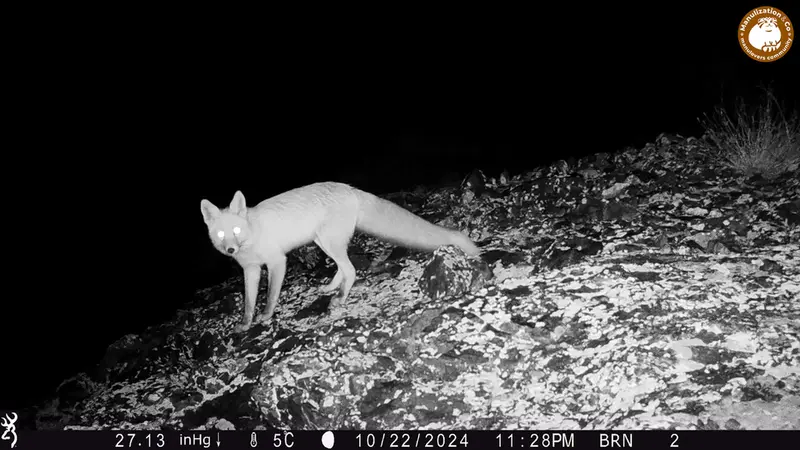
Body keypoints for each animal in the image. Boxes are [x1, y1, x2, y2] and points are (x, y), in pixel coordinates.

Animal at [200, 182, 481, 332]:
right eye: (222, 234)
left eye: (236, 231)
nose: (231, 250)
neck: (252, 234)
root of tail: (350, 188)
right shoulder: (250, 270)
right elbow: (248, 302)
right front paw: (245, 323)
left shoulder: (277, 261)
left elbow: (270, 296)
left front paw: (266, 316)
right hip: (323, 242)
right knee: (342, 268)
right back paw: (331, 288)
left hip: (328, 242)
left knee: (351, 270)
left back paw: (340, 298)